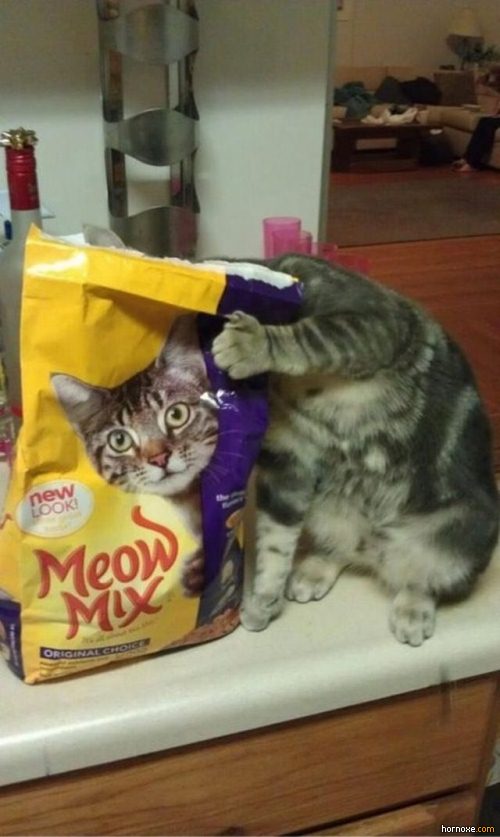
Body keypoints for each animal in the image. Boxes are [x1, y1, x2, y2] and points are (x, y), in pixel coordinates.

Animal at [213, 251, 498, 644]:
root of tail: (377, 551)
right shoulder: (289, 460)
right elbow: (275, 539)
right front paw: (264, 597)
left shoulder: (370, 322)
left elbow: (308, 337)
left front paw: (252, 344)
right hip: (328, 509)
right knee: (344, 549)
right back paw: (314, 570)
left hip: (464, 529)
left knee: (426, 578)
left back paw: (413, 609)